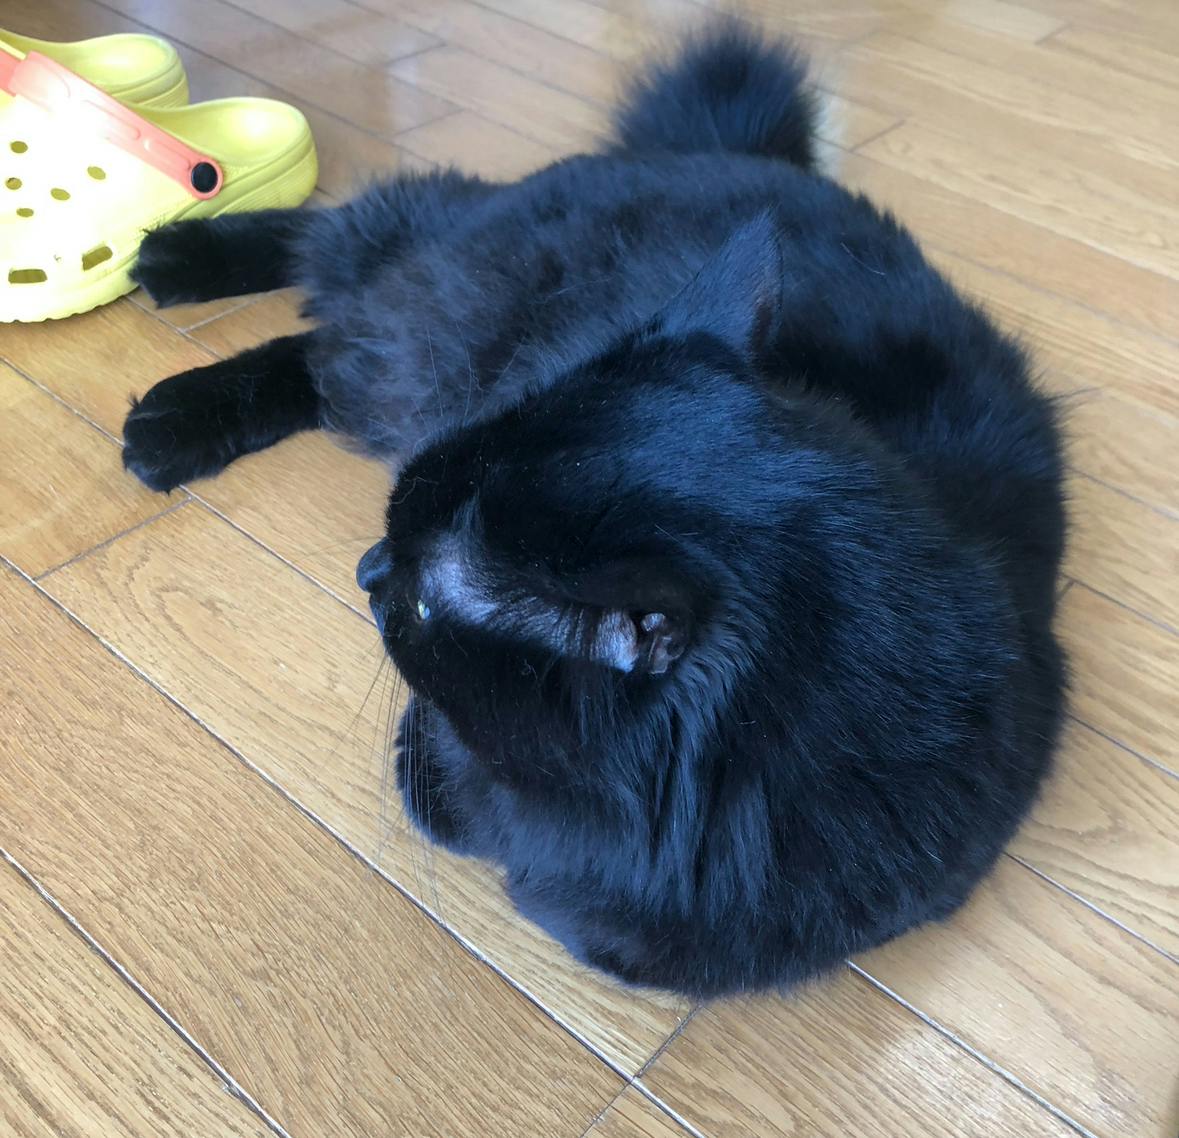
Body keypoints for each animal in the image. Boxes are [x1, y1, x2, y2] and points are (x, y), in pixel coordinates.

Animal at [123, 24, 1067, 998]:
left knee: (322, 341)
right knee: (337, 246)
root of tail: (729, 153)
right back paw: (175, 285)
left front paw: (439, 782)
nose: (365, 568)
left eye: (416, 599)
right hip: (442, 302)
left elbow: (504, 839)